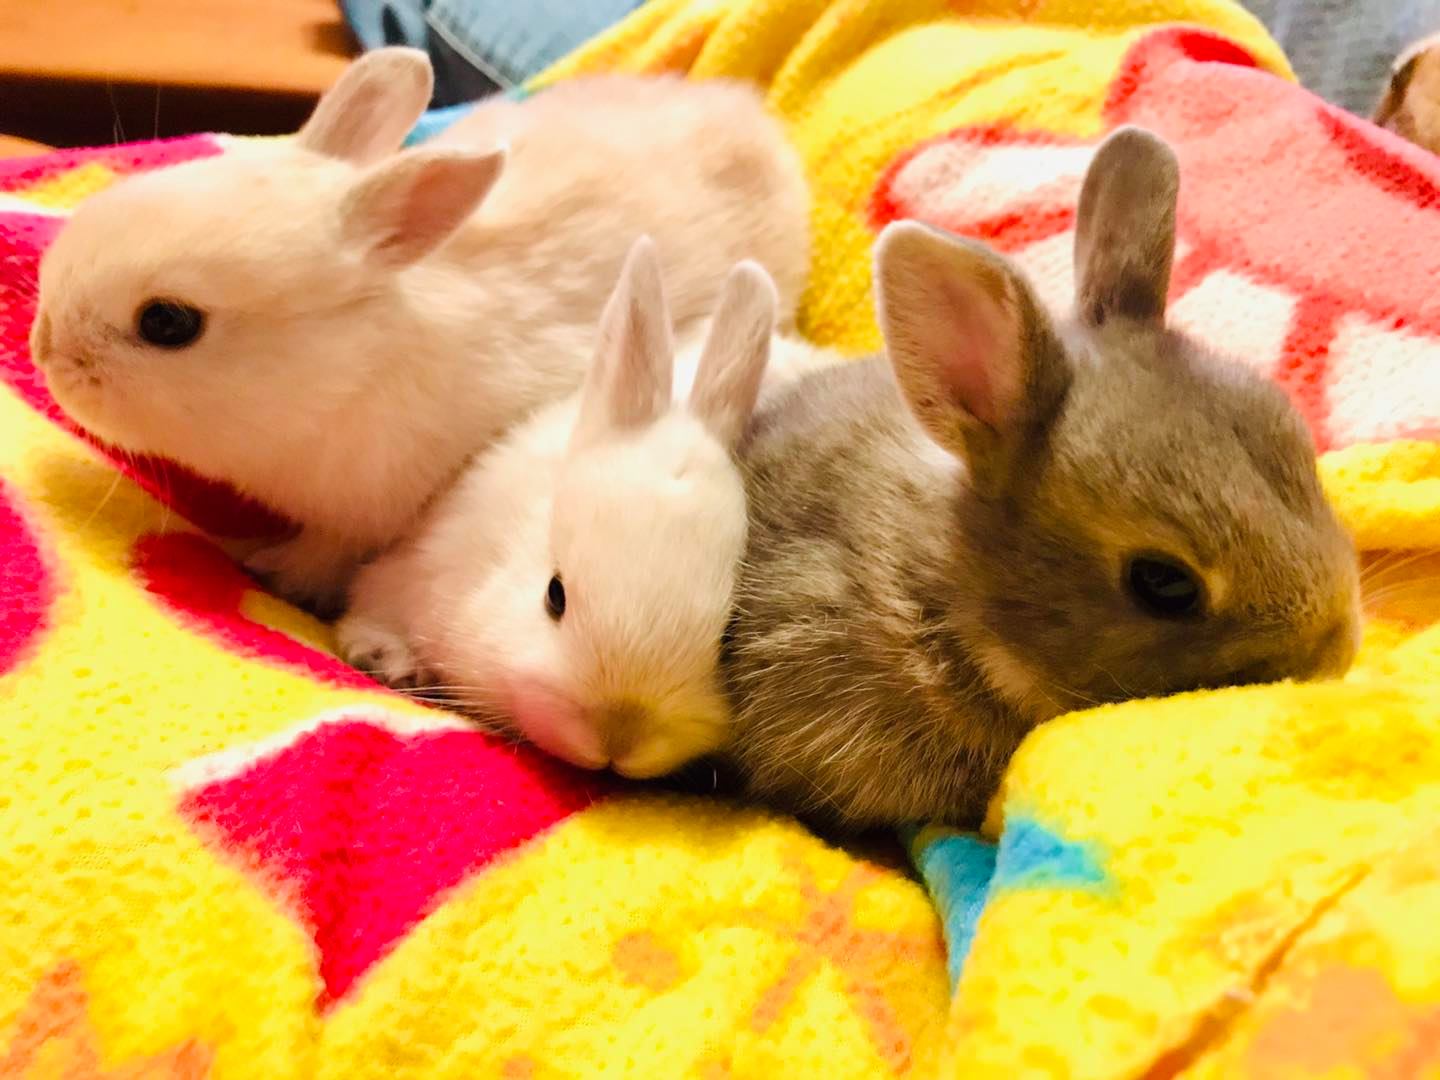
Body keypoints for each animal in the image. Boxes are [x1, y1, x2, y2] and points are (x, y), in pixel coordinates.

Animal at [28, 47, 811, 614]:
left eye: (167, 322)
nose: (43, 348)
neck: (345, 368)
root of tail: (758, 124)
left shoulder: (363, 514)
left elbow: (324, 552)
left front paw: (270, 571)